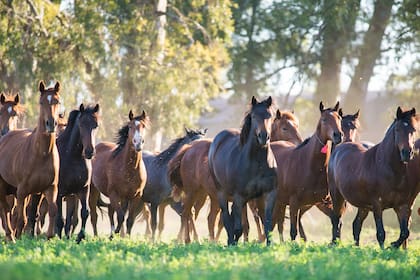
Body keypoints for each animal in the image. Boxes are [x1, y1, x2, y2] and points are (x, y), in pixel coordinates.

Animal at [0, 81, 61, 241]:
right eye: (41, 102)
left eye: (57, 101)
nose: (50, 124)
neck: (41, 154)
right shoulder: (22, 191)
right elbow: (21, 218)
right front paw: (19, 239)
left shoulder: (50, 188)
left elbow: (52, 210)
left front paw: (50, 237)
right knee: (5, 209)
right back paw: (10, 236)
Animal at [208, 95, 278, 245]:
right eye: (254, 116)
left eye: (270, 115)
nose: (263, 136)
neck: (258, 162)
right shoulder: (239, 196)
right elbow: (237, 227)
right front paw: (233, 243)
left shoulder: (269, 194)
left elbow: (267, 225)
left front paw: (270, 246)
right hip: (222, 193)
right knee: (226, 218)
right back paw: (230, 241)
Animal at [274, 101, 342, 242]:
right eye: (324, 119)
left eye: (339, 118)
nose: (338, 135)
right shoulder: (294, 203)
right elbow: (293, 231)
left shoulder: (323, 202)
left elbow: (335, 221)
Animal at [330, 106, 418, 247]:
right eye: (398, 129)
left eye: (413, 129)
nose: (407, 153)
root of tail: (340, 147)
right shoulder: (377, 205)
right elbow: (381, 233)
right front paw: (385, 249)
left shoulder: (402, 205)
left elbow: (405, 232)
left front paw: (393, 245)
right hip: (337, 196)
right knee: (336, 220)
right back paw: (334, 244)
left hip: (363, 206)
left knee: (356, 224)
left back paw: (356, 247)